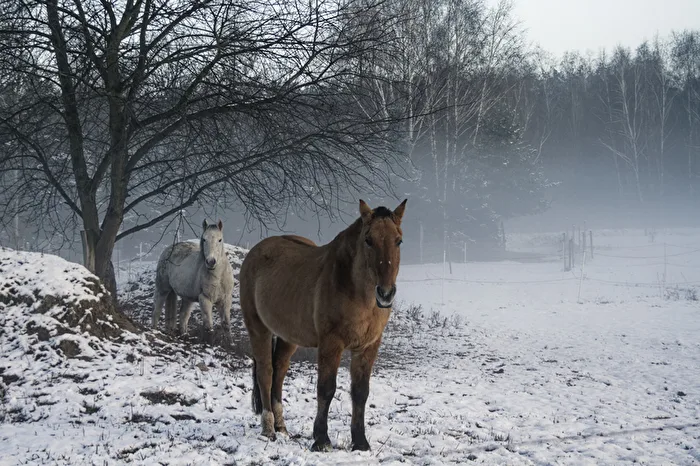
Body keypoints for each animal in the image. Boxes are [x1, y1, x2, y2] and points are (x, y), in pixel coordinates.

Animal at [239, 199, 407, 451]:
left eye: (398, 240)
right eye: (368, 240)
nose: (385, 294)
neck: (356, 290)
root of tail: (254, 253)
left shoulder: (368, 346)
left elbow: (361, 392)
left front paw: (360, 442)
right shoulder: (331, 344)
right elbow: (326, 389)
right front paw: (321, 439)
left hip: (288, 337)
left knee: (279, 372)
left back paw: (281, 427)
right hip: (258, 328)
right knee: (266, 373)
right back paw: (268, 429)